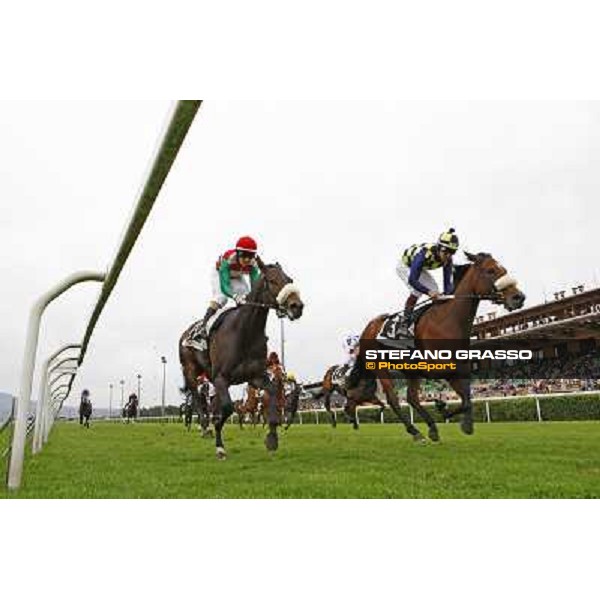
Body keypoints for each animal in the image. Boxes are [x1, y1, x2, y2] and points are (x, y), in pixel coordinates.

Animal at [176, 258, 302, 460]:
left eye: (290, 279)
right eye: (272, 280)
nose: (297, 306)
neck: (245, 332)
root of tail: (186, 333)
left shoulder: (255, 376)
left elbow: (273, 395)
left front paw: (272, 437)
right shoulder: (221, 378)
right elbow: (228, 408)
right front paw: (219, 447)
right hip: (190, 370)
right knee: (197, 399)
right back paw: (205, 427)